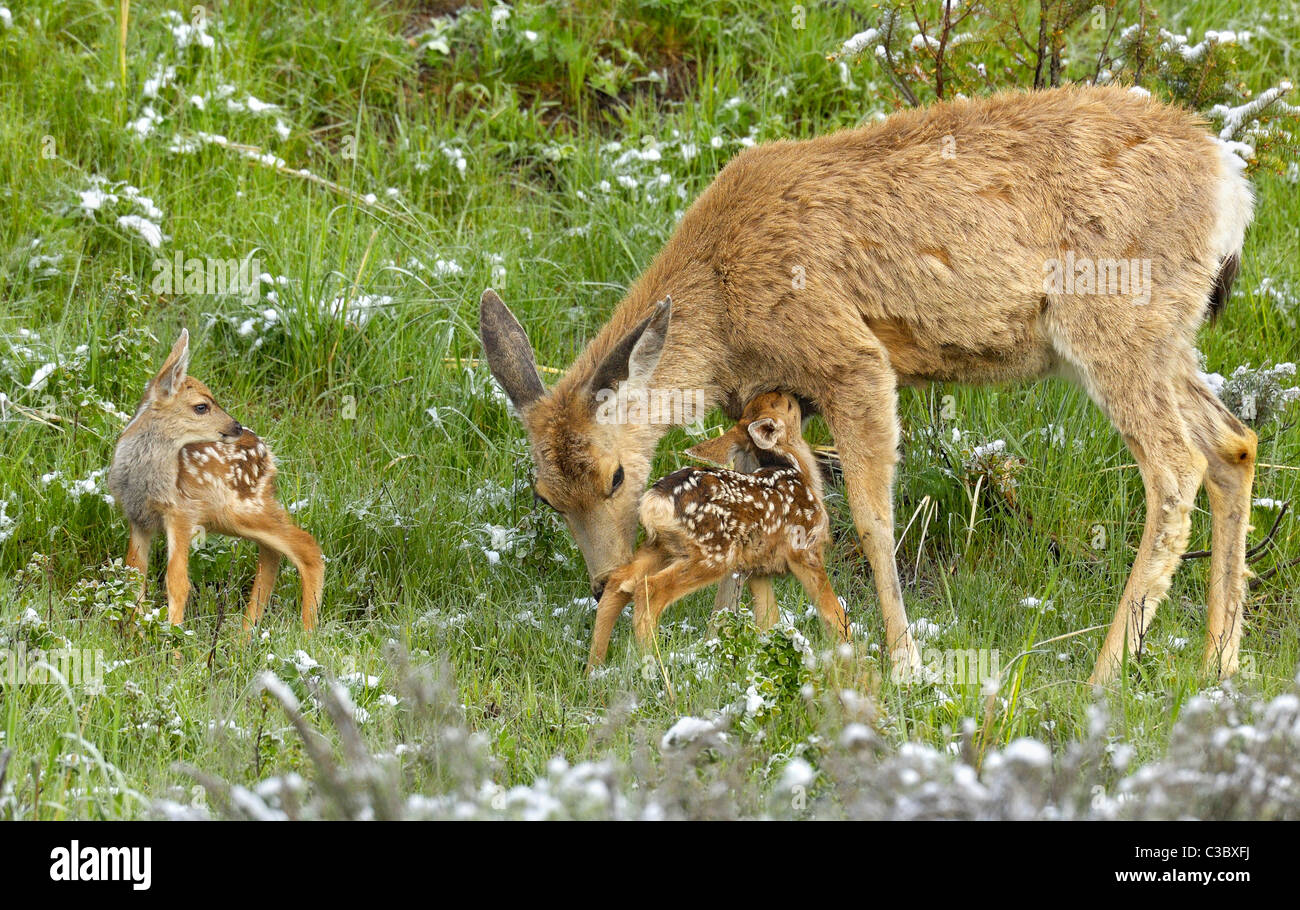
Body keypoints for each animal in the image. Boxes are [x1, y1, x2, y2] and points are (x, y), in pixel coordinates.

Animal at [106, 330, 325, 637]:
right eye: (202, 406)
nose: (236, 426)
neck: (145, 478)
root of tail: (268, 455)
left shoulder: (181, 512)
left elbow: (177, 581)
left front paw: (173, 642)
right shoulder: (139, 518)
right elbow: (134, 577)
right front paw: (134, 638)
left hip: (241, 508)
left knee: (306, 545)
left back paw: (306, 633)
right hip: (232, 514)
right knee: (274, 551)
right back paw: (244, 636)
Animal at [585, 387, 847, 670]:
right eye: (784, 403)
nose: (787, 391)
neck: (798, 470)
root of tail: (654, 501)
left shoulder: (756, 568)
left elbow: (770, 621)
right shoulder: (805, 549)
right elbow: (834, 612)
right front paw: (849, 657)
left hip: (662, 547)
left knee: (618, 583)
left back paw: (594, 668)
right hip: (714, 553)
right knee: (650, 590)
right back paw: (655, 666)